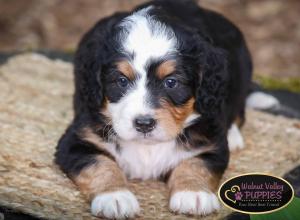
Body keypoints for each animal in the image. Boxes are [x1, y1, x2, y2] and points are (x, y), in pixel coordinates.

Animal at [55, 0, 252, 218]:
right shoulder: (77, 140)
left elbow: (196, 164)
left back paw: (233, 136)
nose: (144, 124)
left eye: (171, 82)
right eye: (121, 81)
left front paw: (193, 193)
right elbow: (99, 164)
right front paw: (114, 197)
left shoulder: (211, 142)